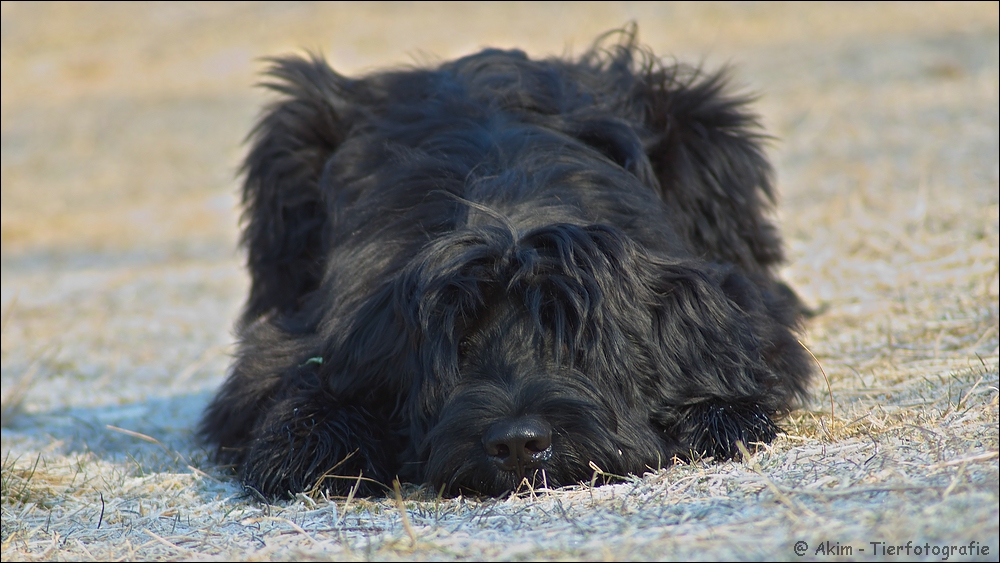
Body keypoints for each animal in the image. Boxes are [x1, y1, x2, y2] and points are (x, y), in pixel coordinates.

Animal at [197, 28, 812, 500]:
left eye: (572, 339)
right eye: (459, 344)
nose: (518, 443)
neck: (508, 210)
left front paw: (718, 414)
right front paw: (310, 449)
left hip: (705, 127)